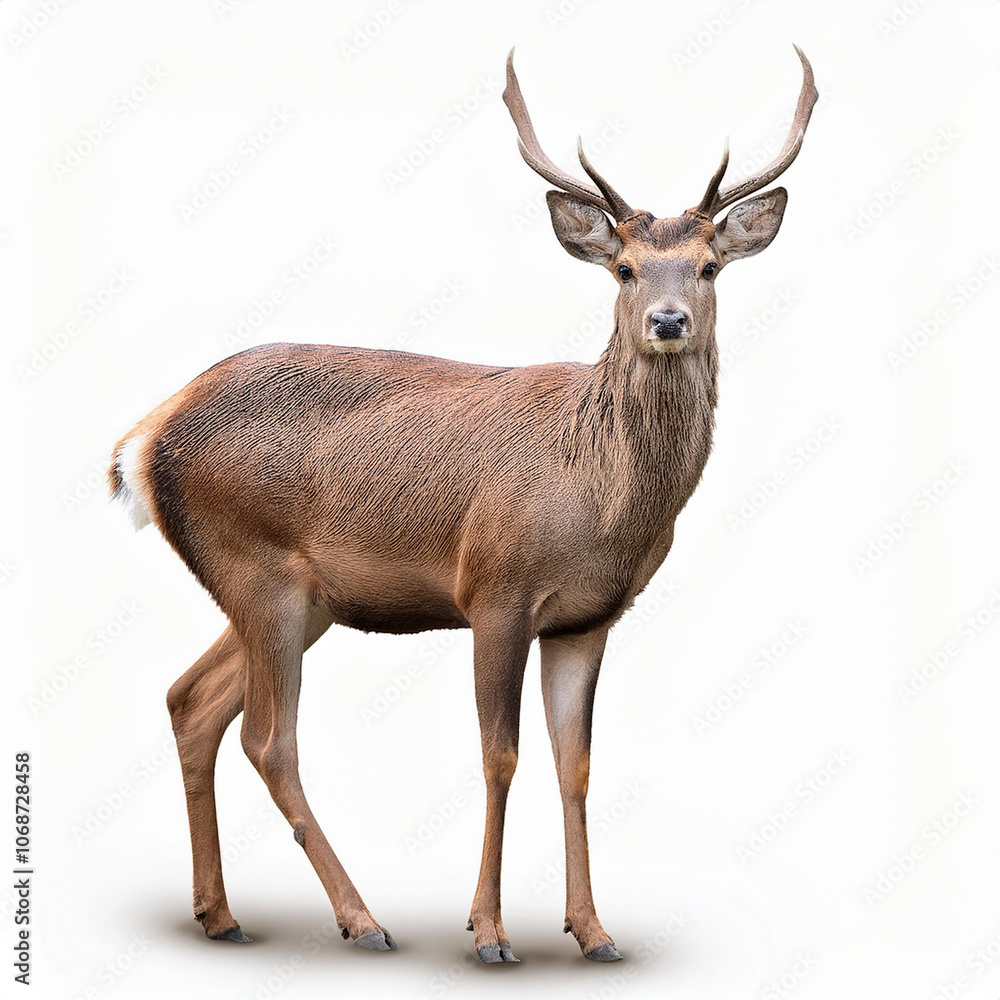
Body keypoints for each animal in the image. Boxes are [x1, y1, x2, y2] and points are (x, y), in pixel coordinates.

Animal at [108, 46, 816, 964]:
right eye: (625, 268)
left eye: (708, 265)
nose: (667, 320)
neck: (602, 502)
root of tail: (144, 437)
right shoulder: (495, 590)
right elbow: (499, 756)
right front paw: (488, 932)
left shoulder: (589, 618)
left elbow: (575, 764)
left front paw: (593, 930)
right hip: (256, 569)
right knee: (268, 739)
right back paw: (362, 920)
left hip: (297, 599)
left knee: (189, 701)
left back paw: (221, 914)